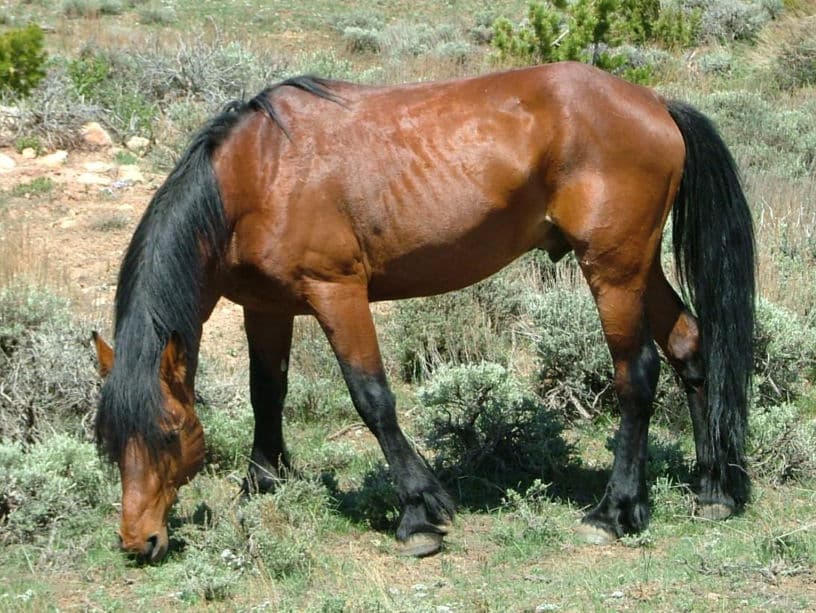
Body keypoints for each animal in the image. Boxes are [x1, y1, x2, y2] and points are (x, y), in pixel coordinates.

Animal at [91, 61, 755, 563]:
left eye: (170, 433)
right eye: (107, 440)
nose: (138, 541)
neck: (256, 175)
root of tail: (656, 103)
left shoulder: (337, 293)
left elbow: (373, 399)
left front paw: (418, 512)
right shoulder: (266, 308)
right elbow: (267, 392)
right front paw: (263, 483)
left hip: (613, 271)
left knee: (636, 374)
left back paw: (614, 510)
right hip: (638, 268)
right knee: (691, 348)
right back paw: (712, 490)